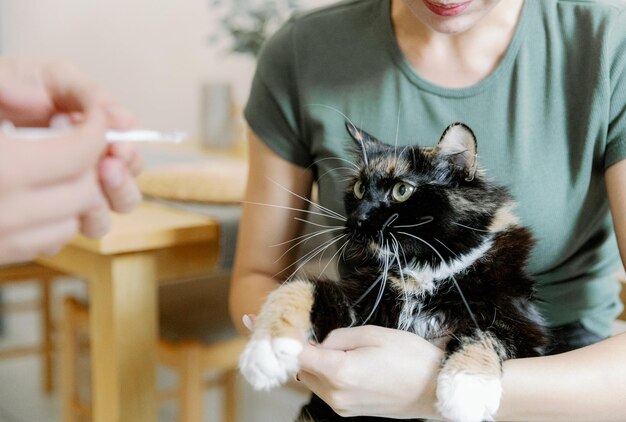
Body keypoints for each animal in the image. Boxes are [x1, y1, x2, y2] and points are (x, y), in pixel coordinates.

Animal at [239, 122, 544, 422]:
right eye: (360, 188)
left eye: (401, 190)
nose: (357, 219)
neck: (426, 269)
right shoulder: (360, 300)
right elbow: (300, 289)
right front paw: (267, 350)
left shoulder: (524, 326)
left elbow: (486, 332)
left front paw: (466, 391)